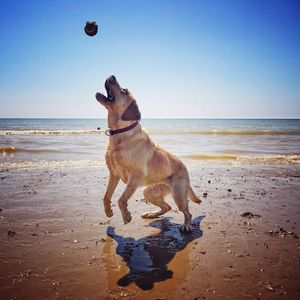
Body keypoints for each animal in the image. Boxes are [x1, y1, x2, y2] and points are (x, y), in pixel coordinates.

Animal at [95, 75, 200, 232]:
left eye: (124, 90)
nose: (112, 75)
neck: (120, 133)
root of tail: (185, 167)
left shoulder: (136, 177)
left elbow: (122, 199)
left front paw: (126, 216)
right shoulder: (113, 174)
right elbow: (106, 196)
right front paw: (108, 211)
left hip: (179, 195)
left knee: (187, 212)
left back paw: (186, 225)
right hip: (149, 192)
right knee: (167, 206)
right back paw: (151, 214)